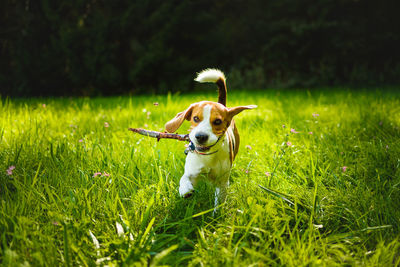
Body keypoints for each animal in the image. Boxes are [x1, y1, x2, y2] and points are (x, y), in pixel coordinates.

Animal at [165, 69, 256, 211]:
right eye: (196, 118)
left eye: (217, 121)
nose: (200, 136)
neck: (207, 156)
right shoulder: (192, 171)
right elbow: (184, 178)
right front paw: (185, 189)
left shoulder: (222, 183)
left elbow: (219, 203)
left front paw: (217, 215)